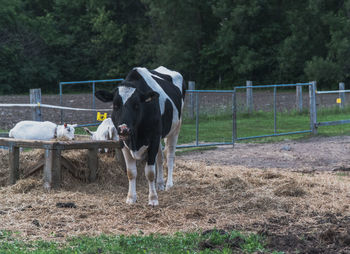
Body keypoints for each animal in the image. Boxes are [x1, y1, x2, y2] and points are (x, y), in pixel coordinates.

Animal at [94, 66, 185, 206]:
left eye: (137, 105)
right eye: (115, 105)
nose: (123, 129)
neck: (135, 138)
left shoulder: (153, 140)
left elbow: (150, 172)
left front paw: (153, 199)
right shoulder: (123, 143)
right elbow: (131, 172)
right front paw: (131, 198)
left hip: (175, 129)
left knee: (170, 156)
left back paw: (169, 184)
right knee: (160, 158)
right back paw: (160, 184)